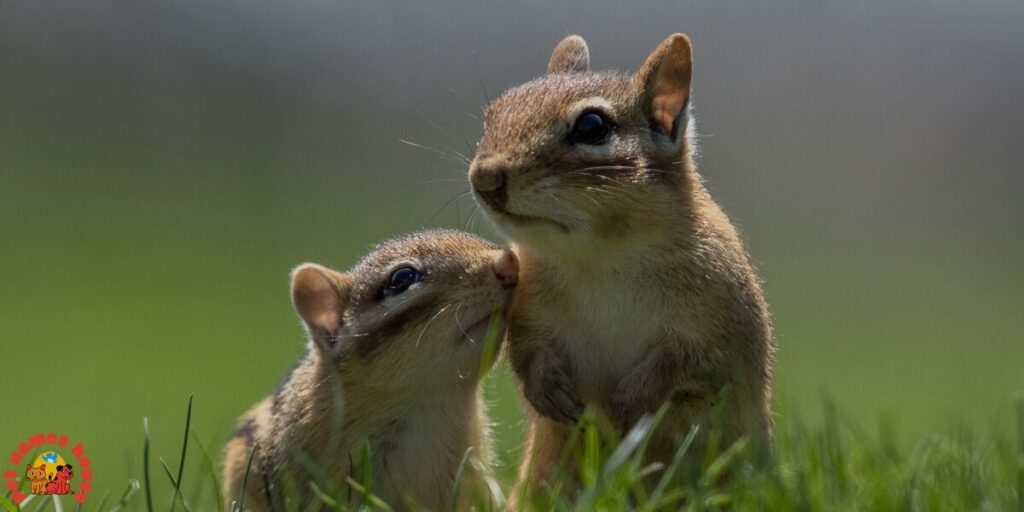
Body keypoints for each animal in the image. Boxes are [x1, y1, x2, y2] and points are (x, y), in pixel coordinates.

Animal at [468, 34, 775, 491]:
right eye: (492, 115)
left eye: (592, 127)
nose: (484, 178)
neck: (601, 257)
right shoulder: (528, 313)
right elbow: (527, 352)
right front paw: (549, 392)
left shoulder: (720, 324)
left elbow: (685, 362)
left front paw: (630, 403)